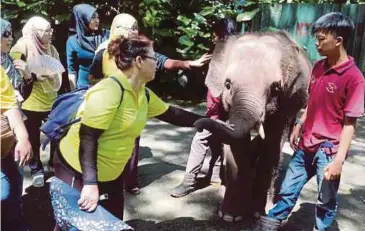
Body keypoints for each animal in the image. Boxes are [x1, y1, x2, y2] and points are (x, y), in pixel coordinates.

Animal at [193, 30, 310, 222]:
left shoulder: (288, 102)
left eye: (275, 88)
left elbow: (273, 144)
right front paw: (230, 216)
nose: (198, 125)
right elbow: (235, 142)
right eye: (227, 84)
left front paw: (260, 213)